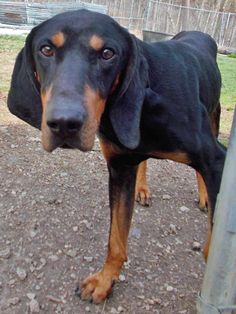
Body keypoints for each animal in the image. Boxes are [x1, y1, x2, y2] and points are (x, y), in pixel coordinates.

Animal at [7, 9, 226, 304]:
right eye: (46, 49)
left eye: (108, 53)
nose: (64, 124)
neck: (146, 99)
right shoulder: (120, 168)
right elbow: (116, 239)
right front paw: (104, 280)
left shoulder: (217, 160)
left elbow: (211, 246)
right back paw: (143, 189)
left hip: (215, 118)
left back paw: (203, 196)